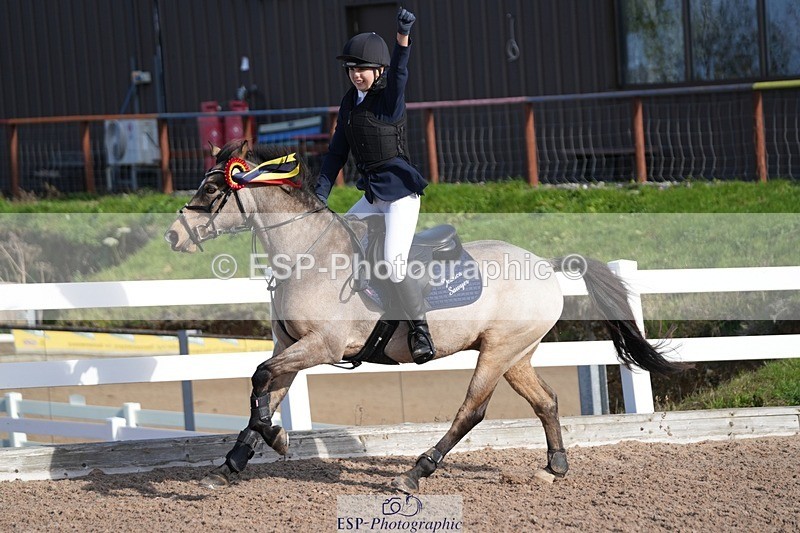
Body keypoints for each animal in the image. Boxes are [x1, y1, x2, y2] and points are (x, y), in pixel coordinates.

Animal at [164, 139, 682, 492]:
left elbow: (259, 379)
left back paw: (416, 472)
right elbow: (265, 393)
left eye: (212, 187)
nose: (173, 236)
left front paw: (275, 439)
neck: (308, 255)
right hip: (517, 354)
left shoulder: (320, 347)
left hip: (498, 352)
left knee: (472, 411)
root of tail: (545, 264)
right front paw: (233, 463)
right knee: (547, 402)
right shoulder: (290, 345)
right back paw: (554, 466)